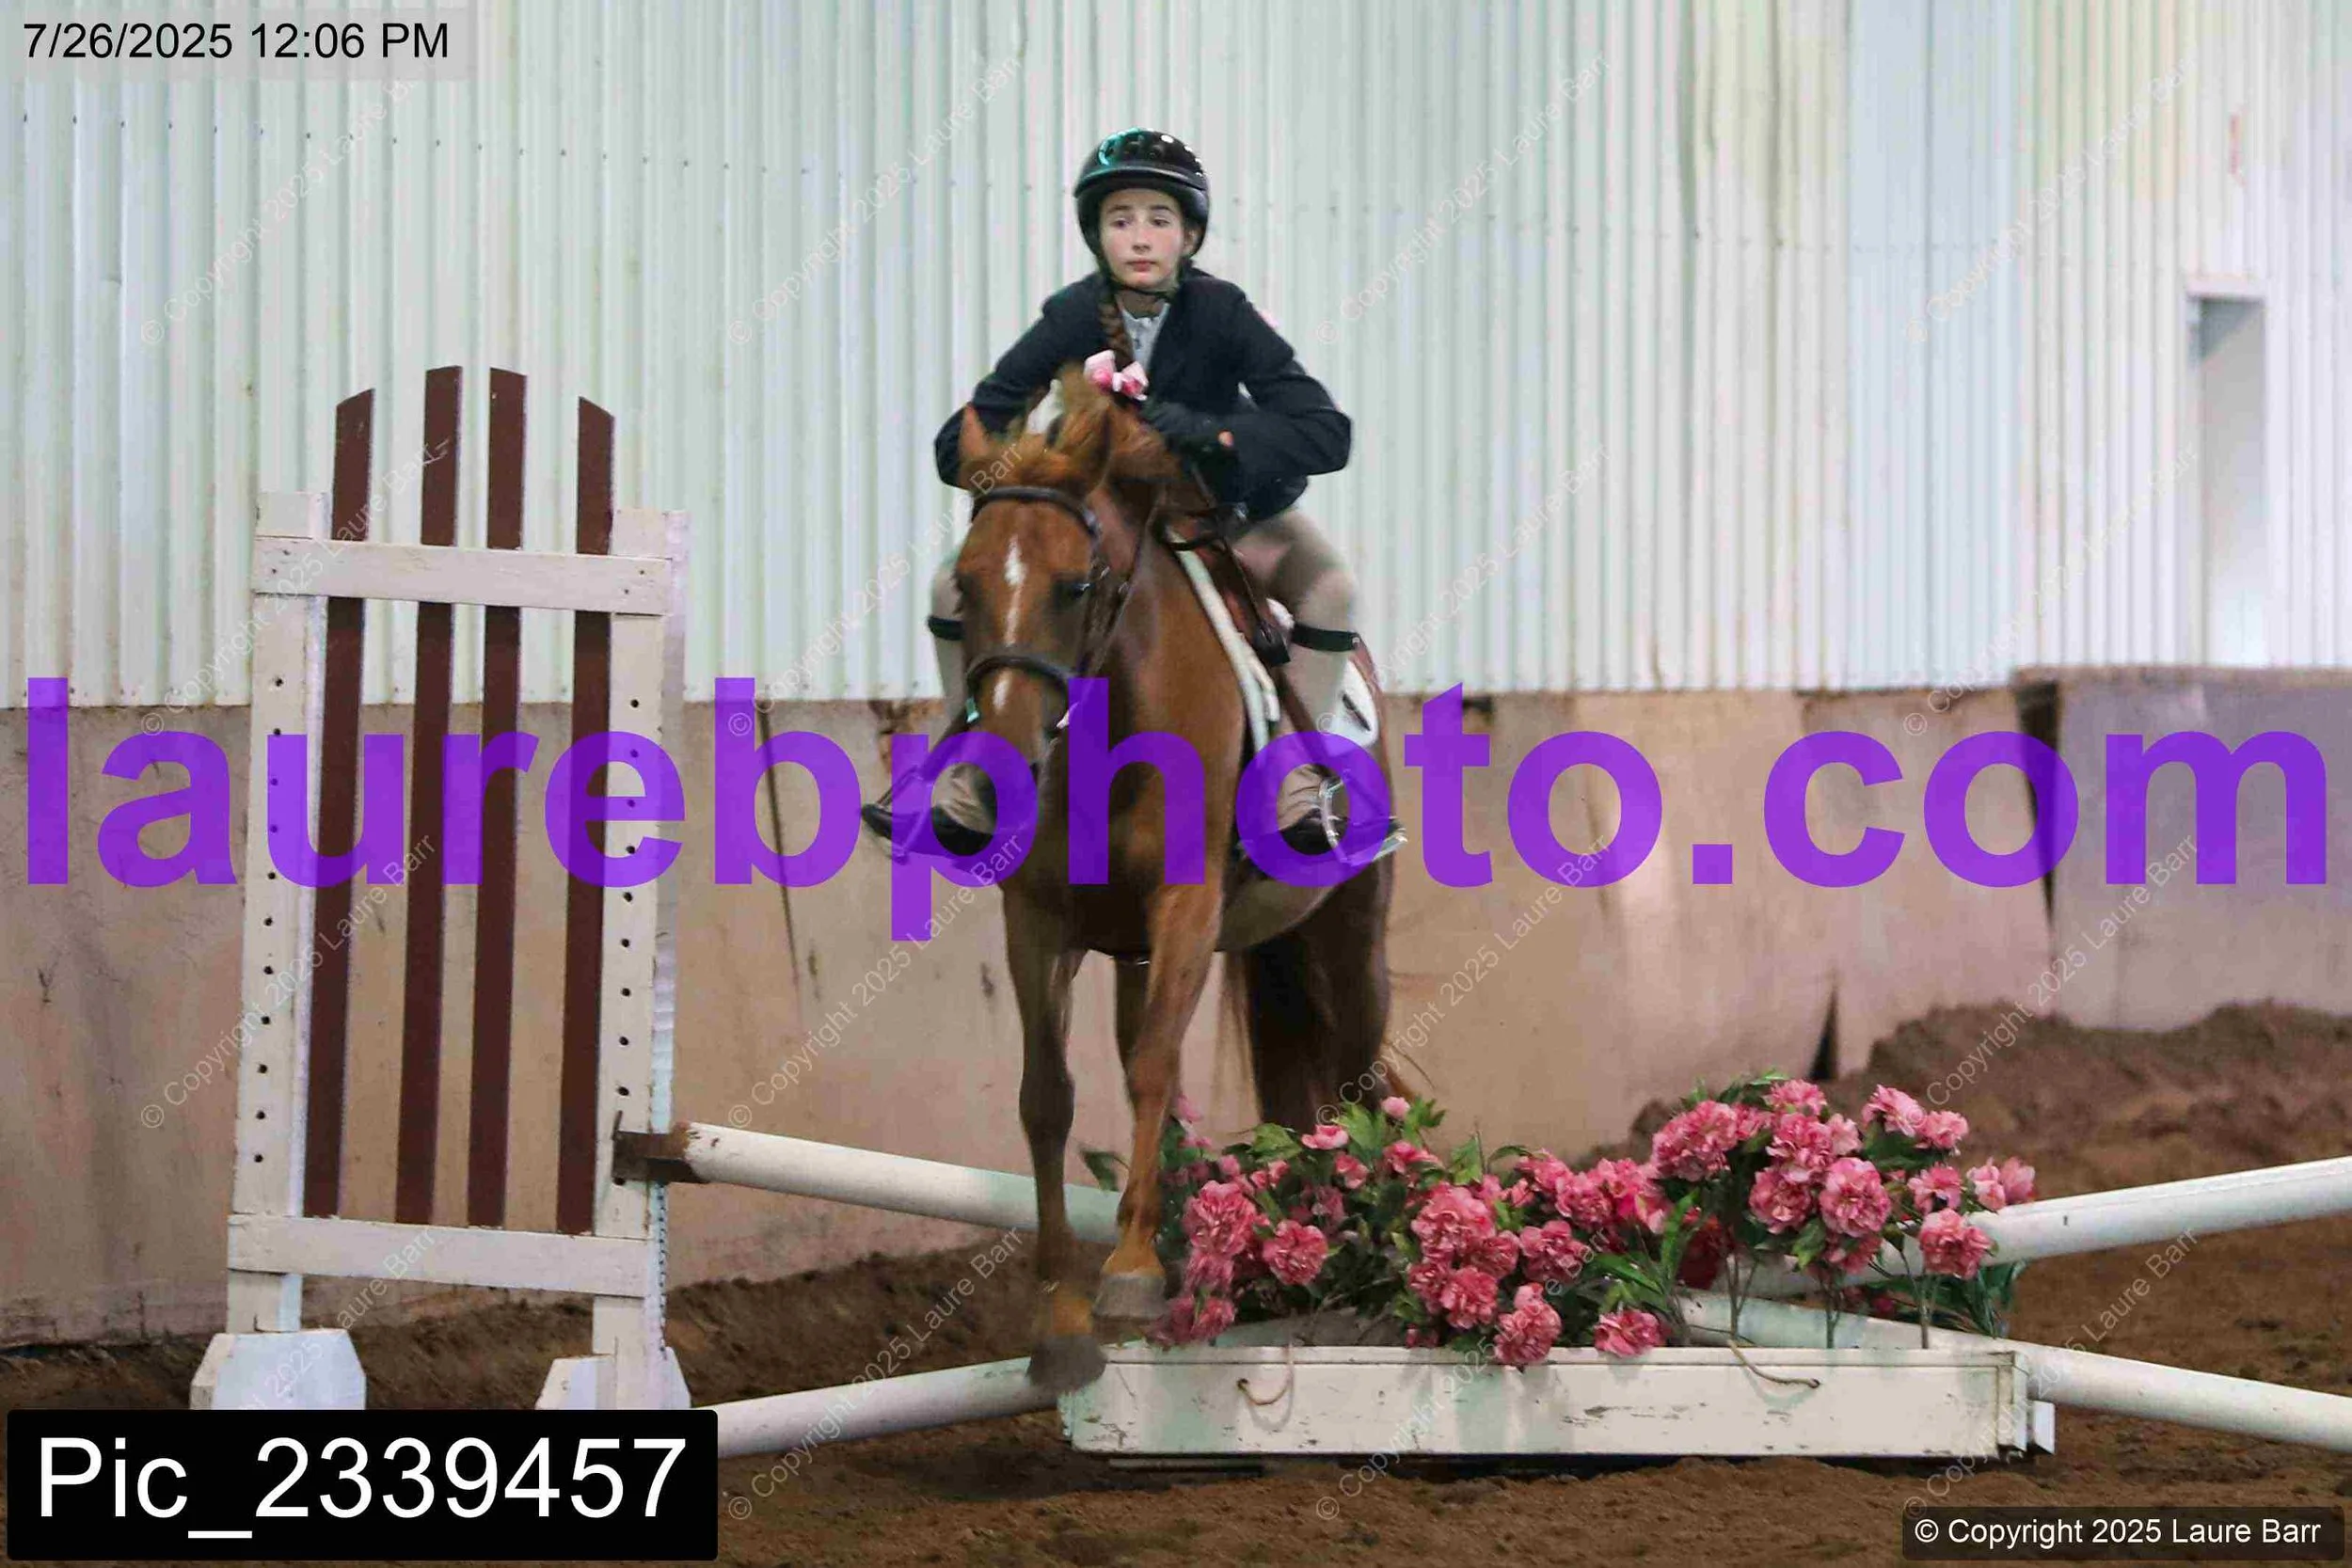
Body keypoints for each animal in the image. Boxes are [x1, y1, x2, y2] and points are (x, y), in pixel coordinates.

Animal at [928, 368, 1398, 1391]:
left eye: (1074, 587)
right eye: (963, 594)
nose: (1004, 765)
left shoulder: (1186, 903)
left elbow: (1147, 1068)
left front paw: (1134, 1272)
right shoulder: (1037, 918)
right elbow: (1048, 1093)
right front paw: (1064, 1319)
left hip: (1347, 930)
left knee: (1356, 1076)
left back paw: (1367, 1240)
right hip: (1136, 951)